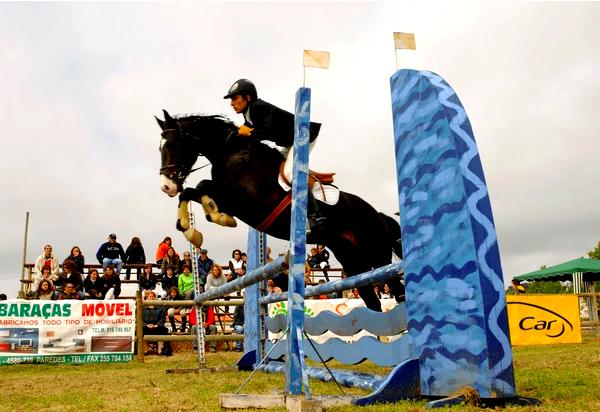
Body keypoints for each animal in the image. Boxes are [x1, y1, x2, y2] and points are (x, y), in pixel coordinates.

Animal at [157, 110, 406, 312]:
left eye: (172, 145)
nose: (166, 186)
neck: (230, 153)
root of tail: (378, 215)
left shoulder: (244, 202)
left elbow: (200, 188)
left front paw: (215, 219)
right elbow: (193, 190)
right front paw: (194, 229)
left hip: (377, 253)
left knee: (397, 290)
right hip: (351, 259)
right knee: (372, 299)